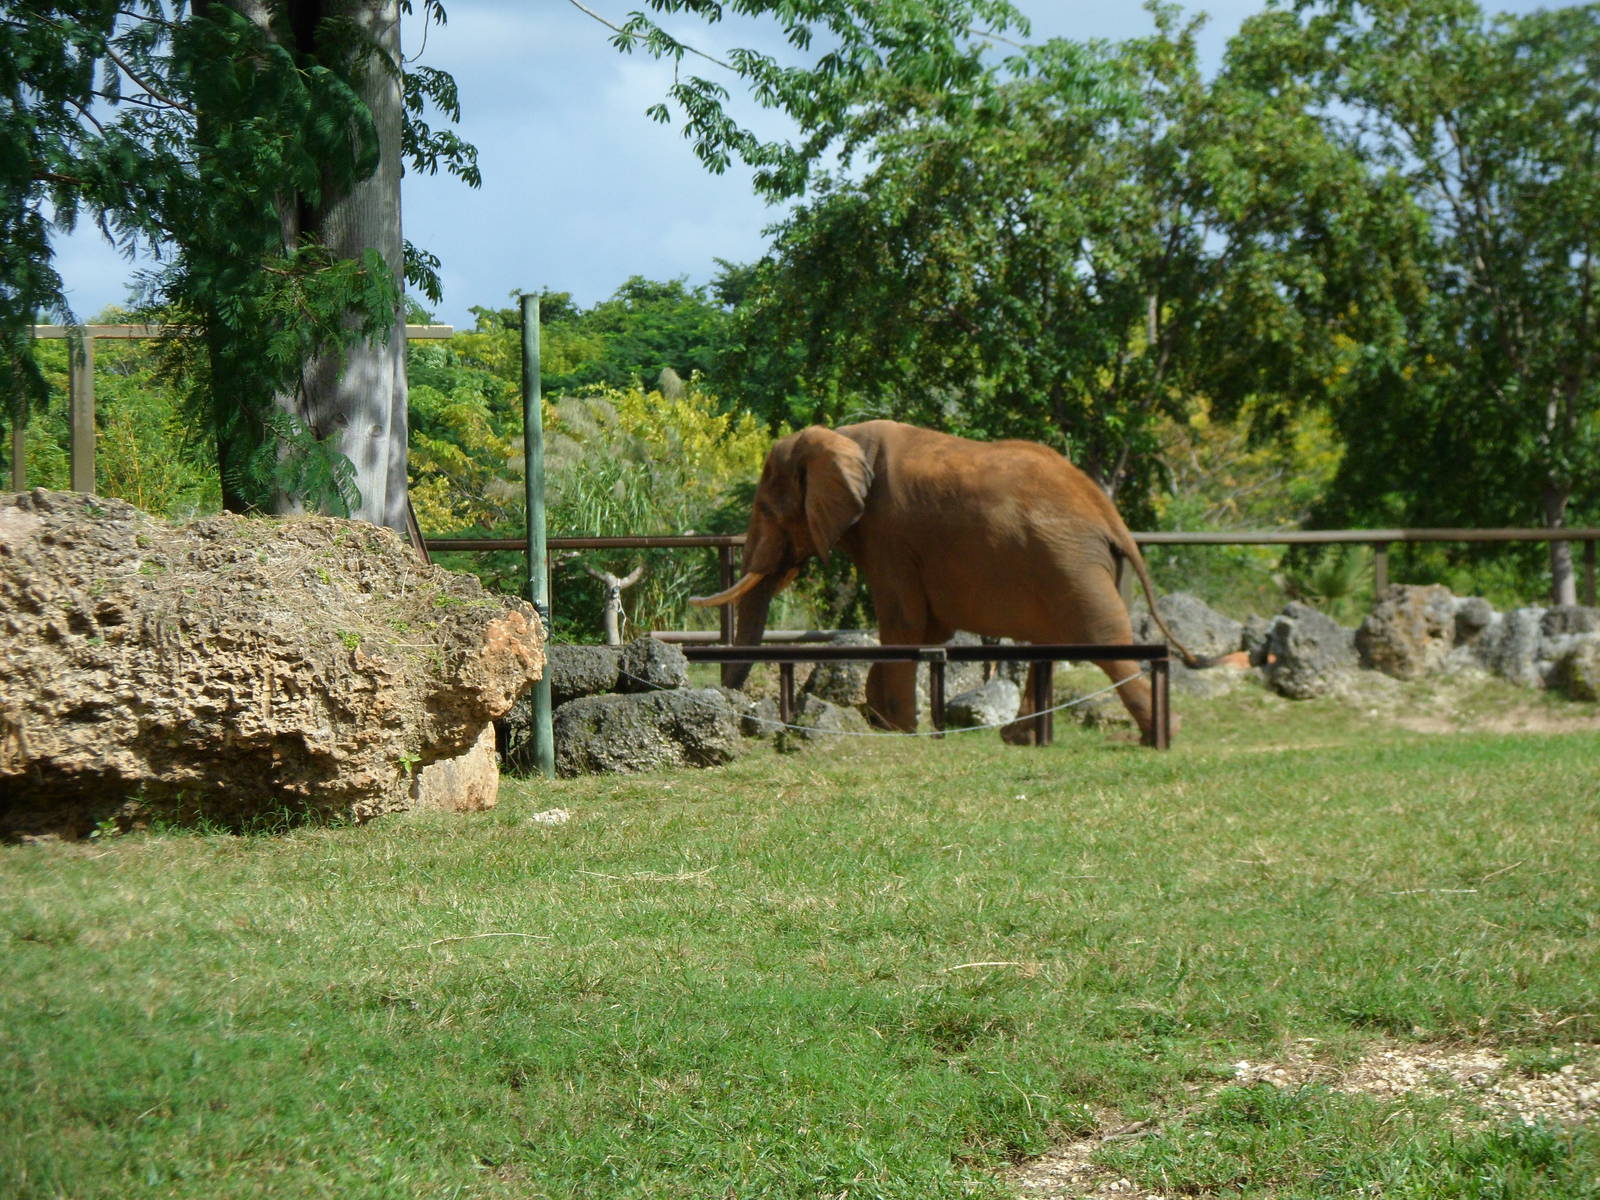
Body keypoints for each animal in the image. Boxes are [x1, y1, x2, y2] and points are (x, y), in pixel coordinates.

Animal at [690, 420, 1201, 745]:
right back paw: (1018, 738)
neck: (840, 438)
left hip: (1071, 561)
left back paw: (1162, 734)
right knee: (1053, 646)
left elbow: (904, 622)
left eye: (767, 510)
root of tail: (1111, 516)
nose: (734, 704)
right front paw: (878, 717)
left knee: (1103, 641)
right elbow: (926, 629)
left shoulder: (889, 530)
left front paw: (894, 727)